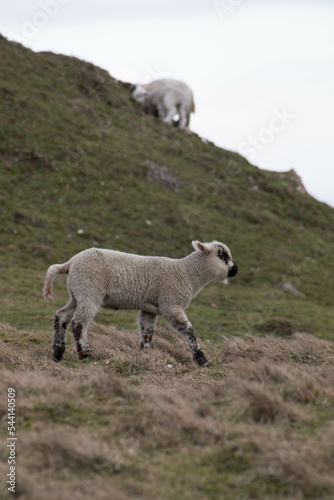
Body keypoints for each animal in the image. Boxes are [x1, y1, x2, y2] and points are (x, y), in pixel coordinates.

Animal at [43, 240, 239, 366]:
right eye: (222, 255)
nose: (235, 270)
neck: (187, 273)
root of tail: (70, 262)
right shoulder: (171, 304)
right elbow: (188, 330)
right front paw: (201, 359)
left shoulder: (150, 310)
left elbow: (147, 333)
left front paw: (143, 355)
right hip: (89, 292)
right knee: (79, 323)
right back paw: (85, 354)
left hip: (77, 294)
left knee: (61, 316)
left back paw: (58, 353)